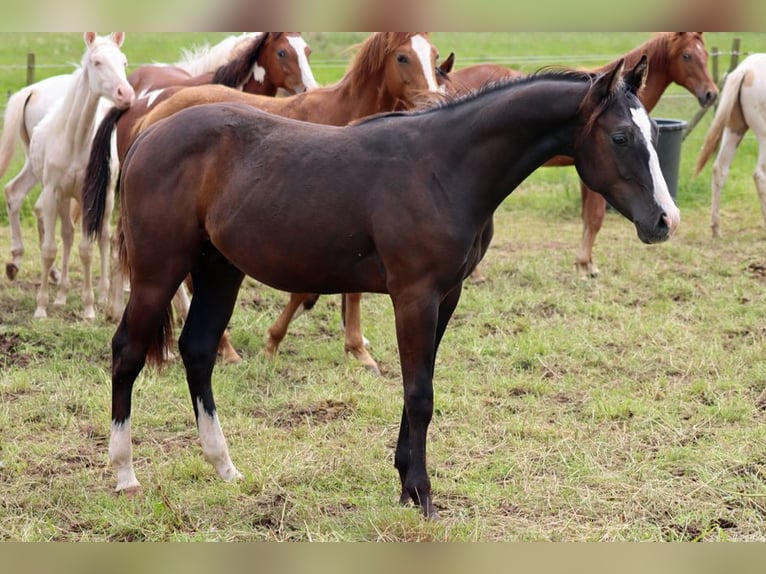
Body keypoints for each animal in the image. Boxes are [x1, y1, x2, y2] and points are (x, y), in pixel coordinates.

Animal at [29, 32, 135, 320]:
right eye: (97, 62)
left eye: (124, 61)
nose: (126, 94)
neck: (73, 139)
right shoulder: (52, 193)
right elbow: (49, 249)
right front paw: (41, 307)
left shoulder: (90, 196)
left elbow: (87, 249)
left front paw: (89, 308)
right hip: (64, 199)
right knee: (67, 234)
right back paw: (61, 295)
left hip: (106, 199)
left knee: (104, 237)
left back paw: (103, 294)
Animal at [109, 32, 444, 374]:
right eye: (402, 57)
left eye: (433, 55)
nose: (433, 102)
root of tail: (152, 115)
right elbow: (306, 291)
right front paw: (274, 342)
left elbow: (352, 292)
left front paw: (358, 350)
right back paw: (224, 347)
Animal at [444, 31, 720, 280]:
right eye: (687, 56)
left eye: (705, 55)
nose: (711, 94)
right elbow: (595, 218)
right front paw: (584, 265)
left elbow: (589, 218)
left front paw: (586, 263)